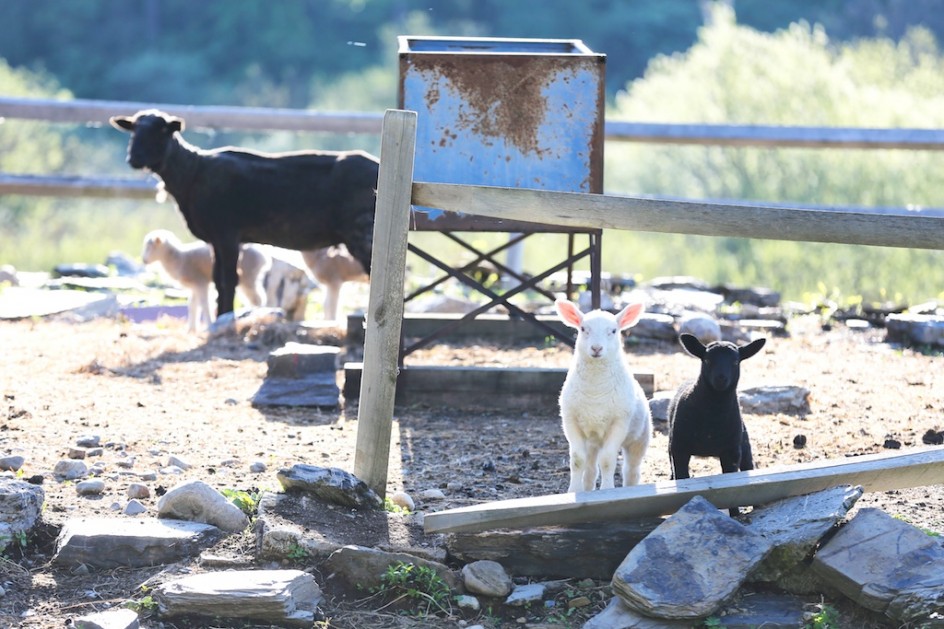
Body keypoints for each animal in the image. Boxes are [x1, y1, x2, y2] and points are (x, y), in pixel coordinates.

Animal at [110, 109, 376, 318]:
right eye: (133, 130)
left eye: (161, 131)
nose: (133, 158)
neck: (192, 173)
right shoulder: (215, 239)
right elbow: (218, 280)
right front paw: (220, 317)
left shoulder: (227, 233)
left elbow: (229, 280)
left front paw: (225, 317)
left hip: (363, 231)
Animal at [142, 228, 272, 332]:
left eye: (150, 247)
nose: (144, 260)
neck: (179, 258)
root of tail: (263, 255)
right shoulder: (194, 286)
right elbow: (192, 305)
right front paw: (191, 329)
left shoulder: (201, 282)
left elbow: (204, 304)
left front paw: (209, 324)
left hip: (248, 277)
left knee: (257, 298)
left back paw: (256, 315)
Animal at [556, 296, 652, 494]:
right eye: (583, 329)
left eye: (613, 331)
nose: (596, 348)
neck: (595, 391)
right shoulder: (570, 421)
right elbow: (577, 460)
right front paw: (573, 491)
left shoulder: (619, 422)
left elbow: (607, 460)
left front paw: (607, 490)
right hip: (592, 440)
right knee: (590, 468)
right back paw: (587, 489)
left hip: (640, 438)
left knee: (631, 469)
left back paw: (630, 488)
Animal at [668, 334, 764, 516]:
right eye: (707, 360)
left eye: (735, 362)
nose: (721, 378)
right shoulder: (679, 448)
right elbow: (682, 477)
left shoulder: (732, 452)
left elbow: (732, 483)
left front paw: (735, 513)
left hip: (743, 443)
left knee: (748, 466)